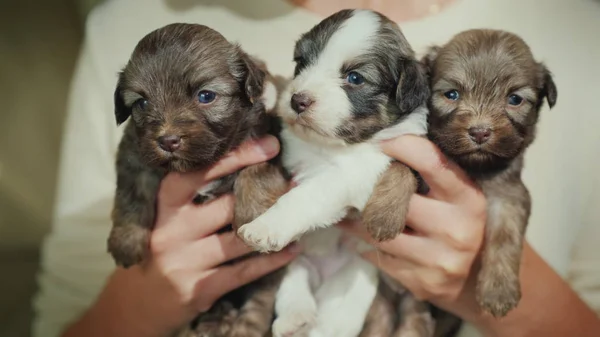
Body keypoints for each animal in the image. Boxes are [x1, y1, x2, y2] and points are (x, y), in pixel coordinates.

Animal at [109, 22, 288, 334]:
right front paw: (127, 238)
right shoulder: (134, 155)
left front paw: (255, 215)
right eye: (142, 103)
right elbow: (132, 194)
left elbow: (257, 170)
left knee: (259, 304)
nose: (168, 140)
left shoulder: (266, 139)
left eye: (206, 96)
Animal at [236, 9, 432, 334]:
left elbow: (306, 195)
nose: (297, 100)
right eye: (301, 62)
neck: (328, 146)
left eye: (355, 78)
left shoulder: (358, 174)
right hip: (298, 263)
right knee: (296, 283)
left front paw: (265, 226)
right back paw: (294, 318)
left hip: (349, 288)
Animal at [422, 28, 556, 316]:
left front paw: (498, 289)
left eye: (515, 99)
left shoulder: (509, 196)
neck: (475, 167)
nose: (480, 132)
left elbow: (505, 237)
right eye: (452, 95)